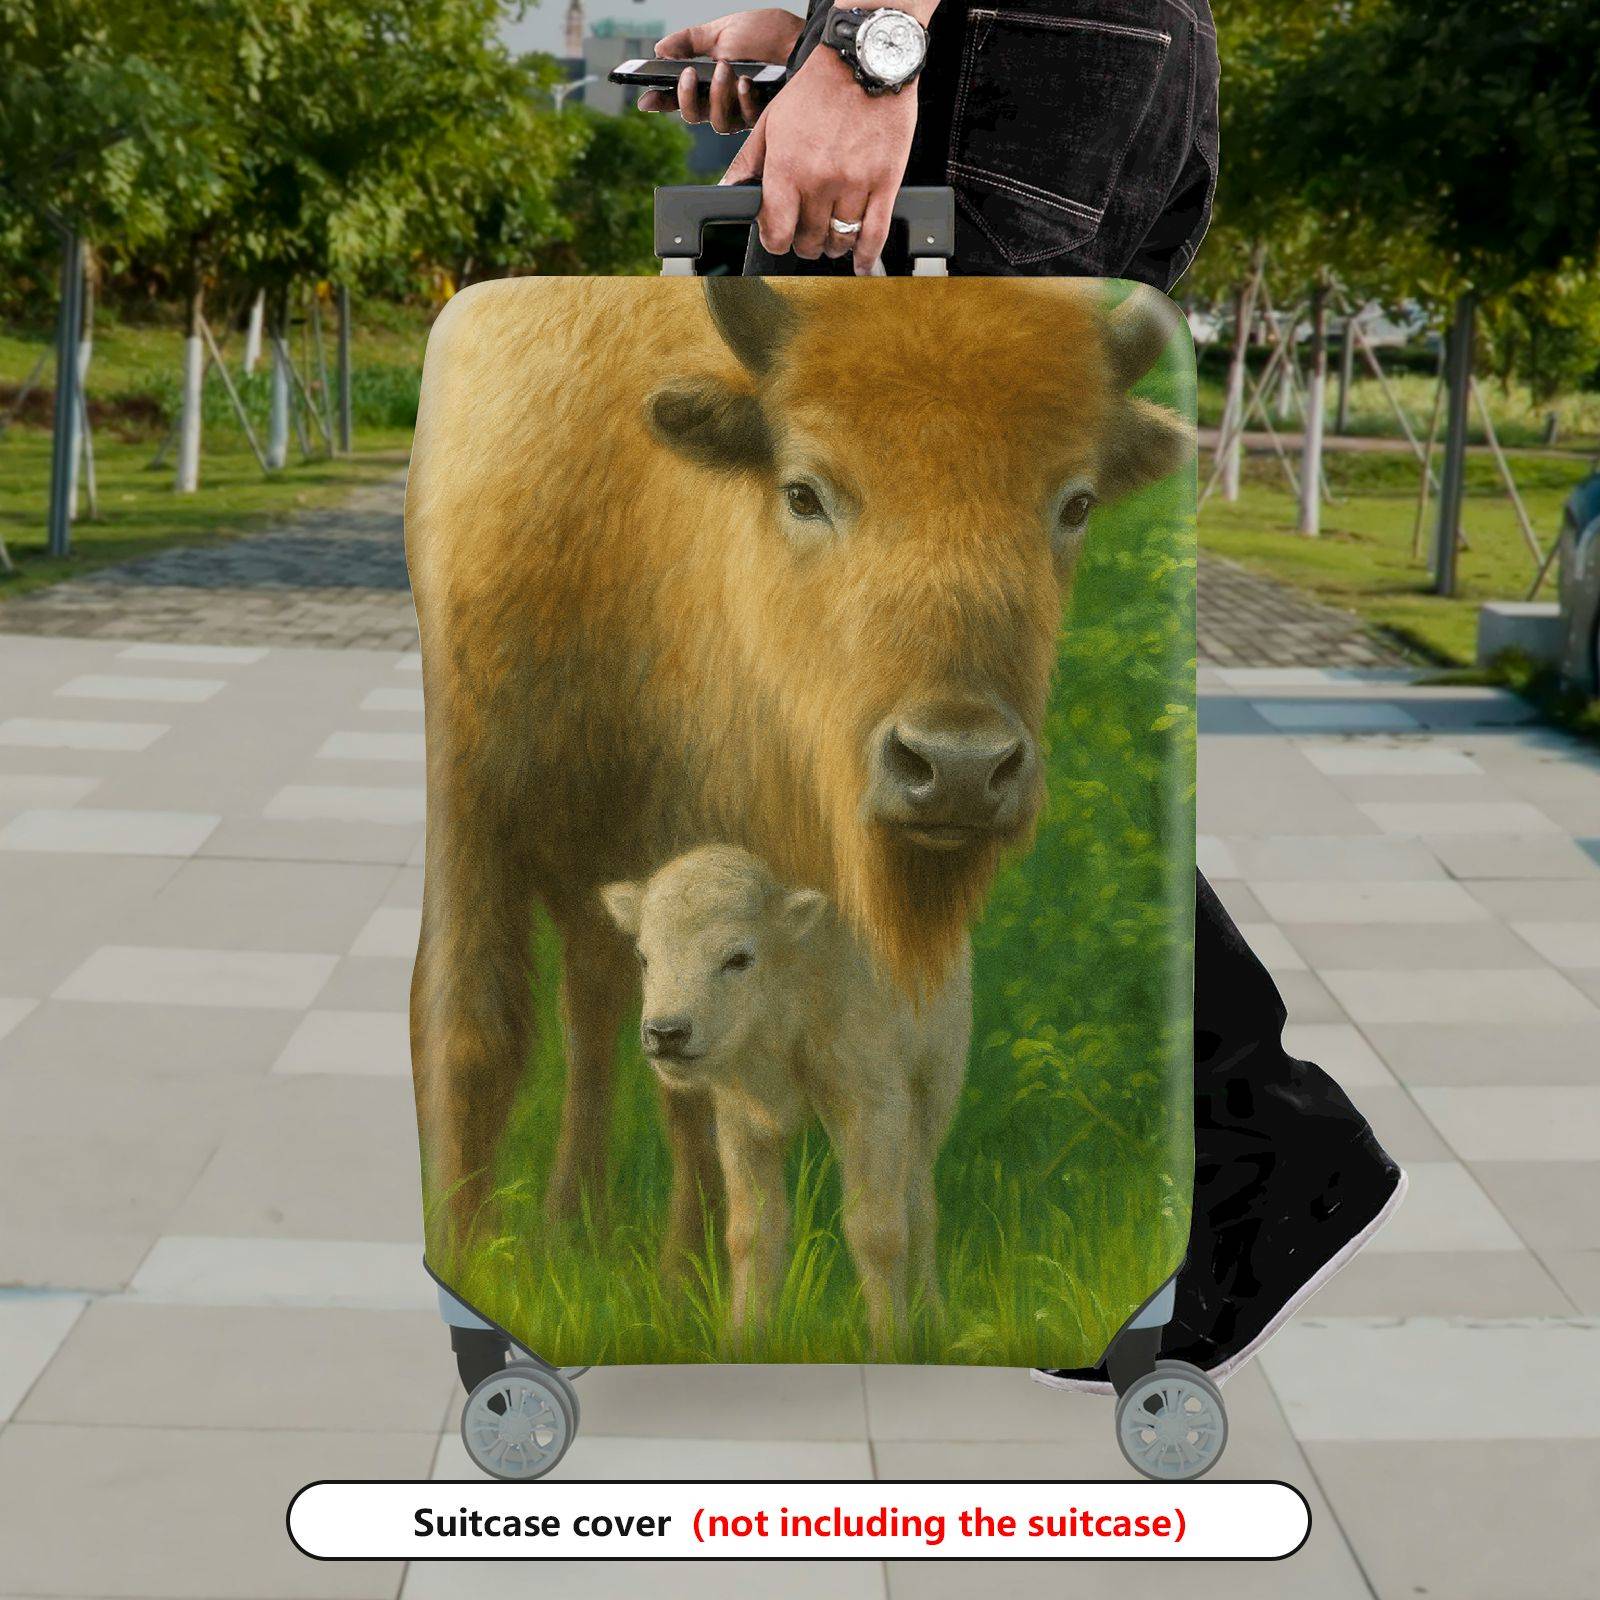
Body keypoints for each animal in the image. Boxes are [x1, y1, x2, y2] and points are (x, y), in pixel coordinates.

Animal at [404, 274, 1191, 1261]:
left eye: (1076, 503)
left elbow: (703, 1092)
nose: (959, 767)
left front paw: (688, 1280)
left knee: (595, 1011)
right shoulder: (474, 812)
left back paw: (579, 1223)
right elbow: (474, 1034)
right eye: (804, 492)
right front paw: (474, 1255)